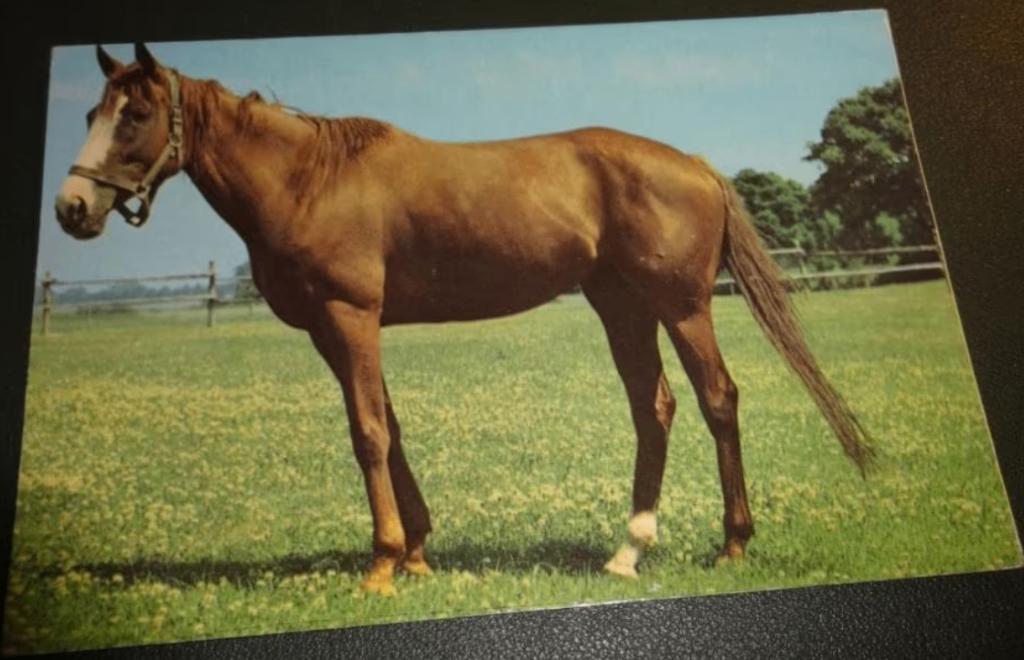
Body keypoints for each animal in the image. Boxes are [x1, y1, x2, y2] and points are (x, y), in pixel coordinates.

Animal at [55, 43, 873, 595]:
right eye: (92, 112)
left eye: (135, 115)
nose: (72, 208)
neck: (308, 179)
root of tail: (696, 163)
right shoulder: (336, 330)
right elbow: (388, 428)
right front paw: (417, 552)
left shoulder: (350, 316)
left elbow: (367, 433)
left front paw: (382, 564)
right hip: (622, 305)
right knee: (656, 407)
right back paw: (629, 549)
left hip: (681, 306)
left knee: (716, 400)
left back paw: (731, 544)